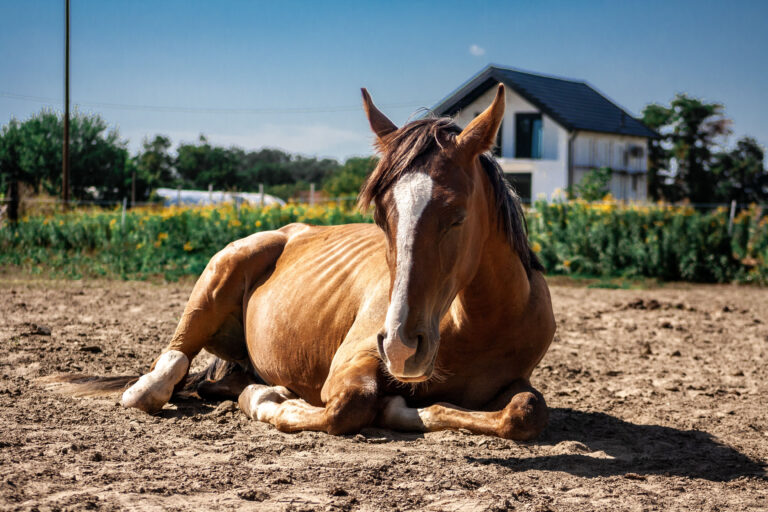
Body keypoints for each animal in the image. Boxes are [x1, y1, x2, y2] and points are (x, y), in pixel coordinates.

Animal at [54, 84, 556, 440]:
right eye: (381, 216)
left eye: (457, 216)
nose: (399, 346)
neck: (477, 324)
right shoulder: (350, 366)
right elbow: (347, 407)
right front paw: (270, 401)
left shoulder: (515, 382)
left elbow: (526, 411)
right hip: (224, 268)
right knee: (167, 371)